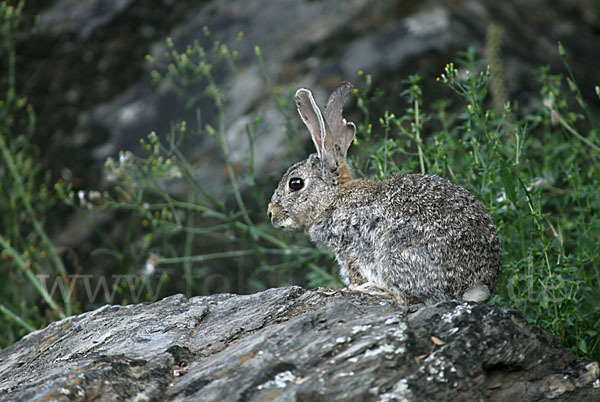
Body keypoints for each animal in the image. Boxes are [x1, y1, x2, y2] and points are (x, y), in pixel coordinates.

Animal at [268, 81, 502, 304]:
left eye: (295, 183)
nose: (271, 214)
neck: (332, 200)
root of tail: (474, 286)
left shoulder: (349, 250)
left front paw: (351, 288)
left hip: (392, 255)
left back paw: (373, 290)